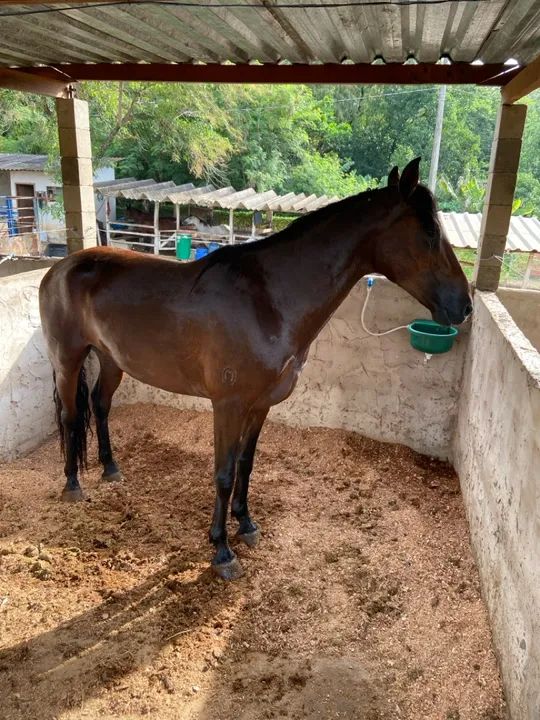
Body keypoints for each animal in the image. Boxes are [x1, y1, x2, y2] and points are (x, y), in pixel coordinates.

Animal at [39, 158, 472, 580]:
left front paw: (245, 525)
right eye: (429, 232)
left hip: (112, 359)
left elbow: (246, 465)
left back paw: (111, 468)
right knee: (71, 416)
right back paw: (72, 485)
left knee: (100, 405)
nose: (464, 306)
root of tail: (60, 268)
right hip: (67, 360)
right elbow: (224, 473)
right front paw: (221, 550)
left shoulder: (261, 404)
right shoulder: (228, 406)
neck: (267, 301)